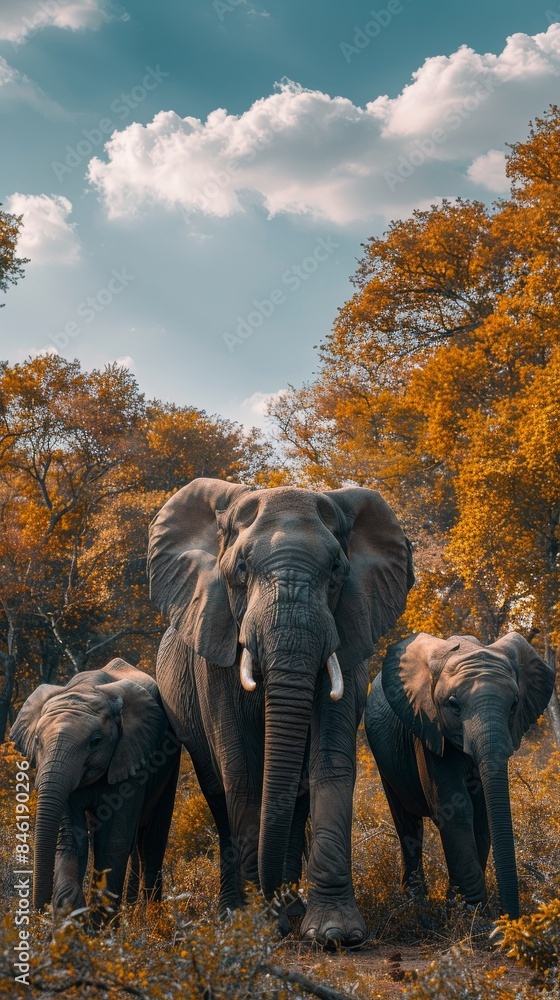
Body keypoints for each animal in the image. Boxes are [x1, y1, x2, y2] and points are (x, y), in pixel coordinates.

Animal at [11, 658, 181, 916]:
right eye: (38, 741)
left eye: (95, 742)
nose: (39, 909)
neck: (86, 690)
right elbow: (71, 836)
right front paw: (71, 915)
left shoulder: (130, 754)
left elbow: (113, 841)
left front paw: (101, 923)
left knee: (153, 838)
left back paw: (150, 916)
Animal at [147, 477, 413, 946]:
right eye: (240, 570)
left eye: (337, 570)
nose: (270, 904)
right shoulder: (215, 643)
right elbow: (241, 769)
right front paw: (257, 927)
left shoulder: (347, 632)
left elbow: (330, 763)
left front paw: (334, 934)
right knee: (220, 795)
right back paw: (239, 913)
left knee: (297, 797)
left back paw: (291, 911)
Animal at [364, 632, 556, 919]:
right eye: (453, 705)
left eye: (514, 704)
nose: (510, 917)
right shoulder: (427, 726)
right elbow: (455, 807)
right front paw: (469, 914)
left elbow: (482, 811)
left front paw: (471, 912)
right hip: (383, 757)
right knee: (407, 823)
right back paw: (415, 904)